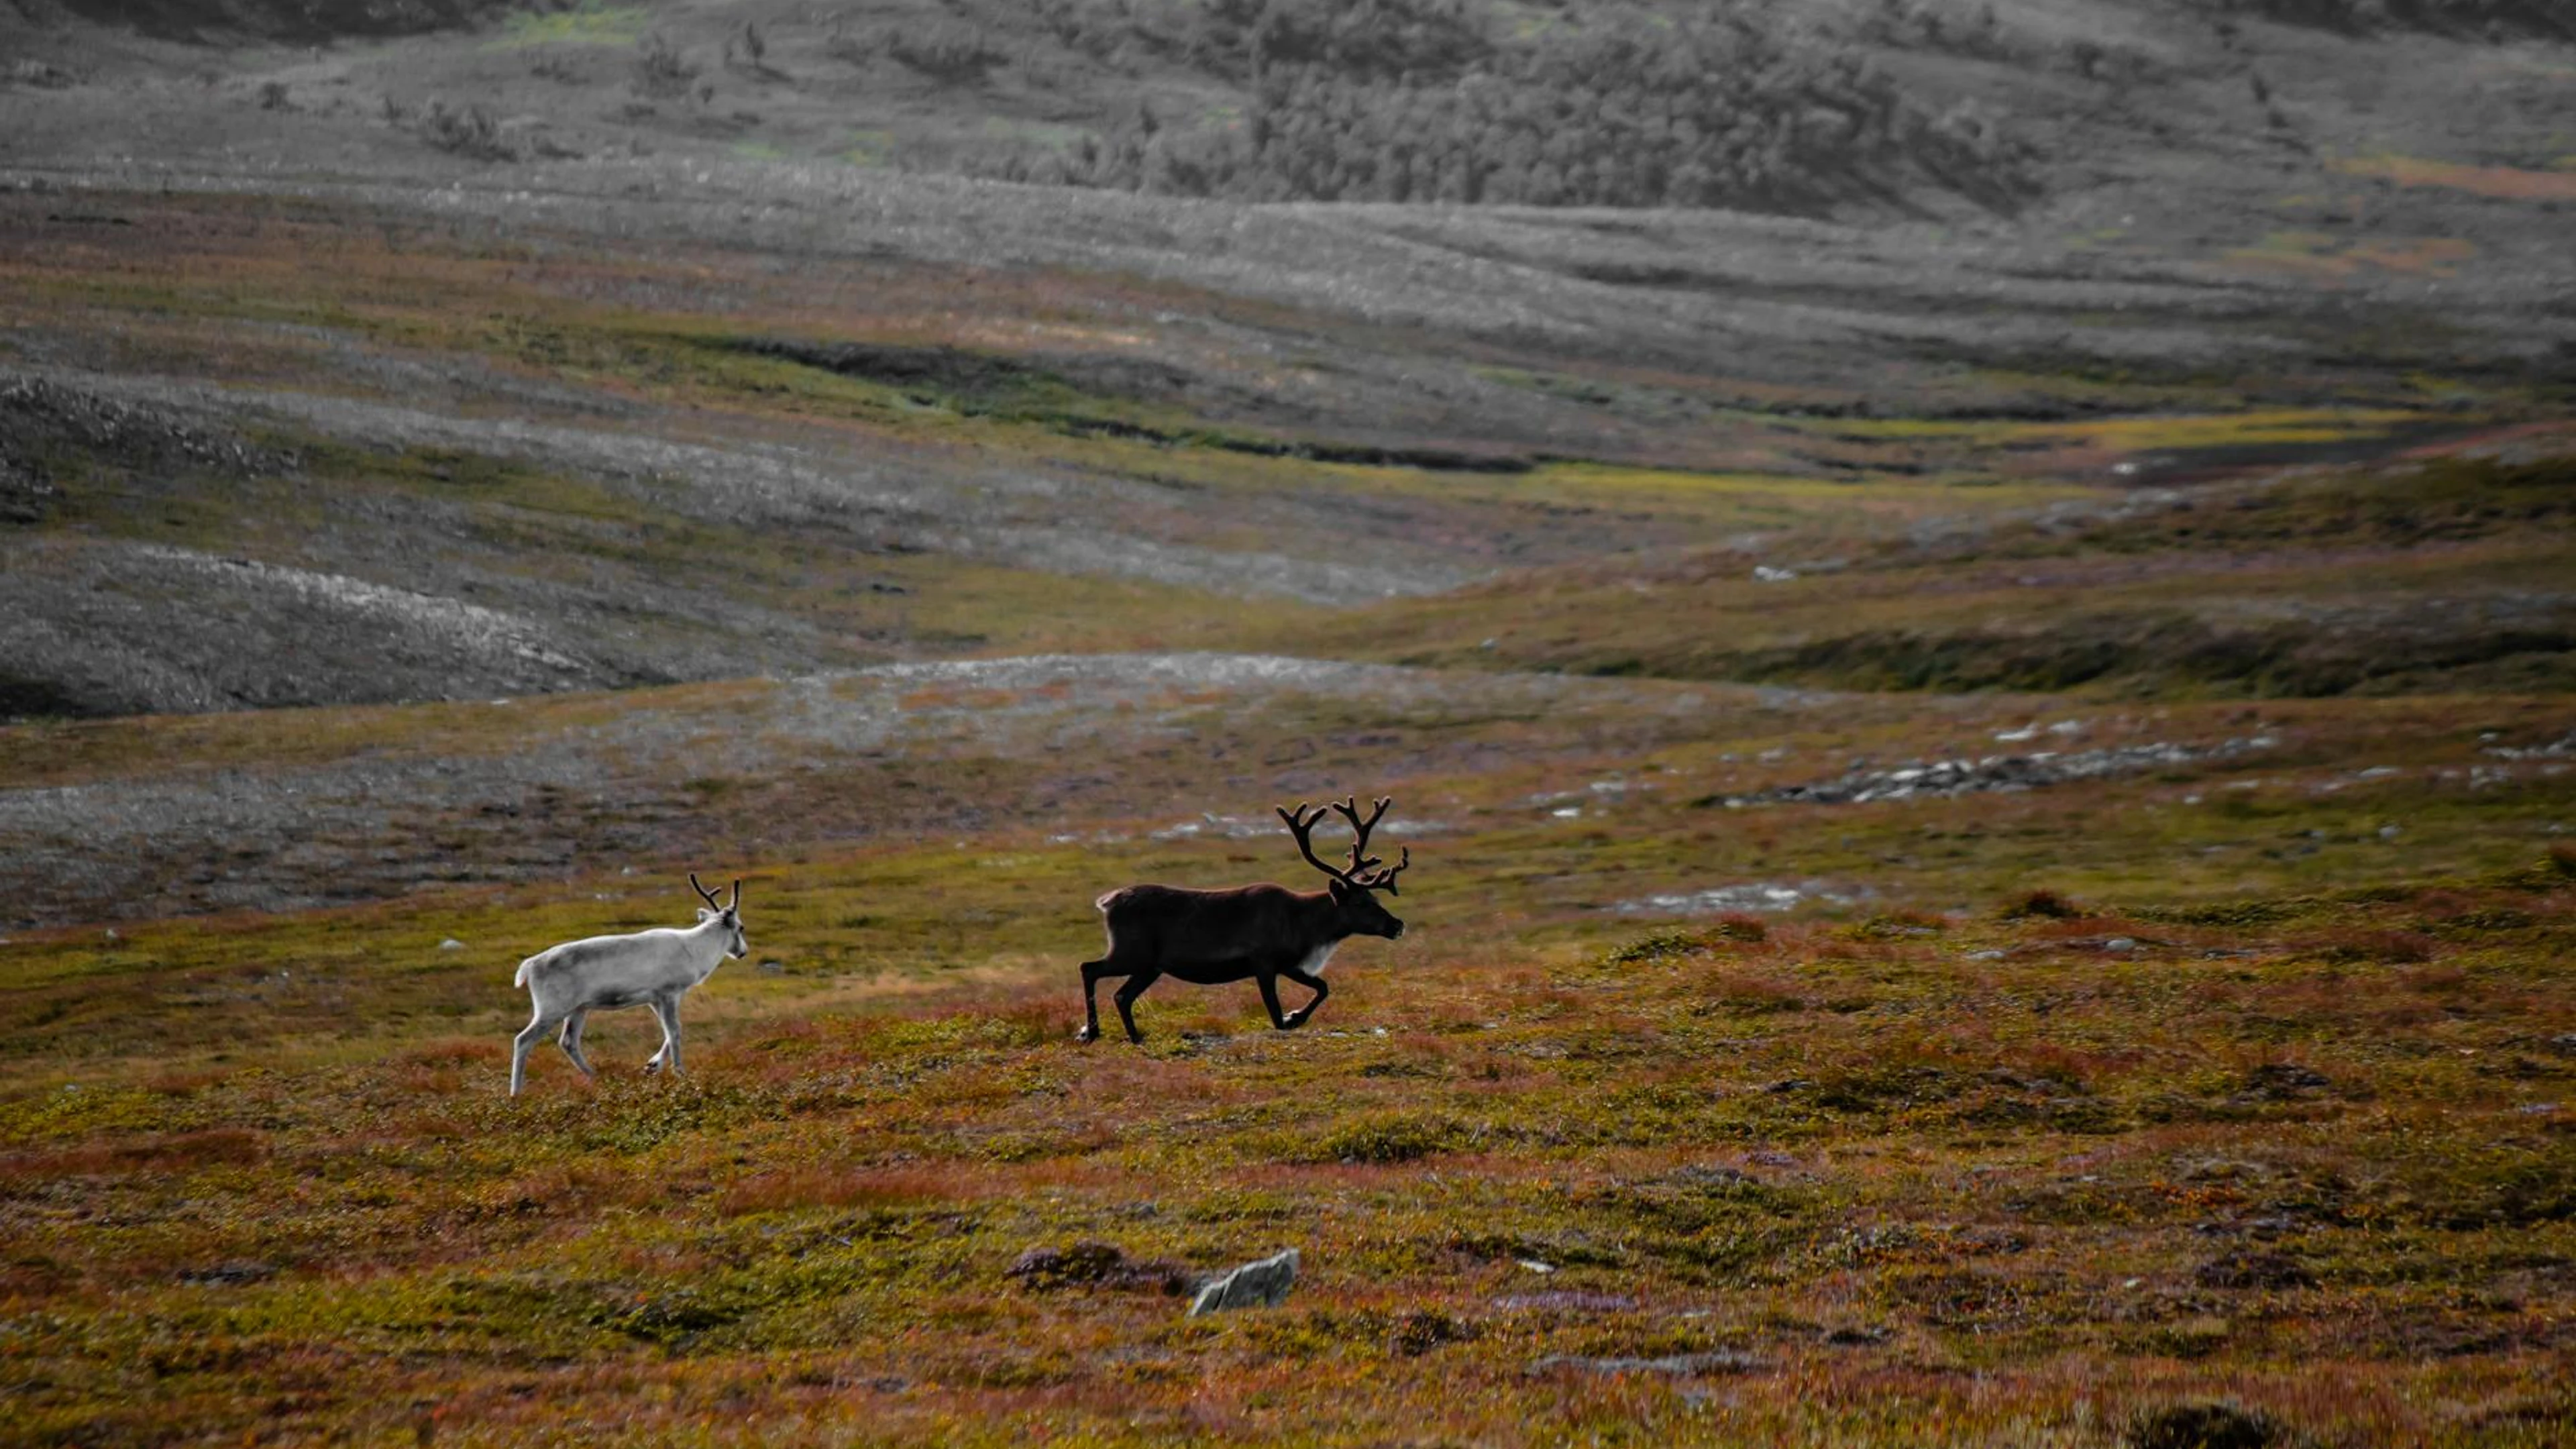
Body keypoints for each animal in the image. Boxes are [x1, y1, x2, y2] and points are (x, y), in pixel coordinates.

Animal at [508, 874, 746, 1097]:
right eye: (741, 927)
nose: (743, 952)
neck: (695, 949)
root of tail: (529, 967)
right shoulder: (669, 993)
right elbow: (675, 1031)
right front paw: (680, 1073)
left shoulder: (655, 998)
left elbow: (669, 1031)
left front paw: (652, 1066)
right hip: (551, 1009)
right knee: (523, 1040)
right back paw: (516, 1093)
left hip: (578, 1008)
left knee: (568, 1042)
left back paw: (598, 1077)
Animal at [1077, 796, 1411, 1045]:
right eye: (1361, 903)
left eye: (1377, 899)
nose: (1397, 925)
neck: (1304, 923)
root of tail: (1106, 901)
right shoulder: (1263, 963)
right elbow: (1275, 1013)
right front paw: (1289, 1018)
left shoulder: (1288, 963)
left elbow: (1323, 987)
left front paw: (1296, 1016)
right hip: (1132, 954)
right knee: (1089, 969)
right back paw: (1092, 1032)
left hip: (1151, 966)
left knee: (1122, 995)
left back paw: (1134, 1037)